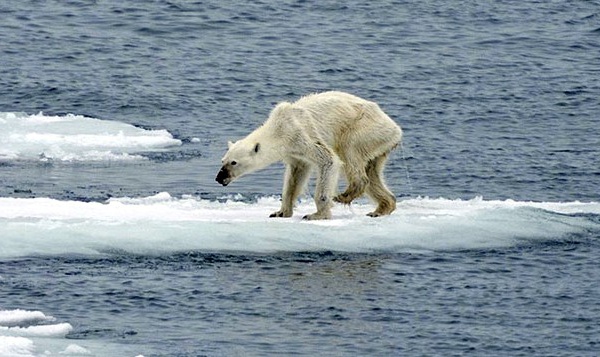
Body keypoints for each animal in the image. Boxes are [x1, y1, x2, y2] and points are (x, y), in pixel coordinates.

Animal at [216, 91, 404, 220]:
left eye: (233, 162)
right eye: (223, 160)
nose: (219, 178)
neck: (279, 128)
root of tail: (395, 128)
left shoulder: (301, 135)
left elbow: (329, 160)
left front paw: (316, 215)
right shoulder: (293, 152)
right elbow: (295, 176)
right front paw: (280, 212)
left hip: (364, 129)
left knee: (349, 152)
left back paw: (345, 195)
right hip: (379, 143)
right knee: (372, 172)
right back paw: (381, 208)